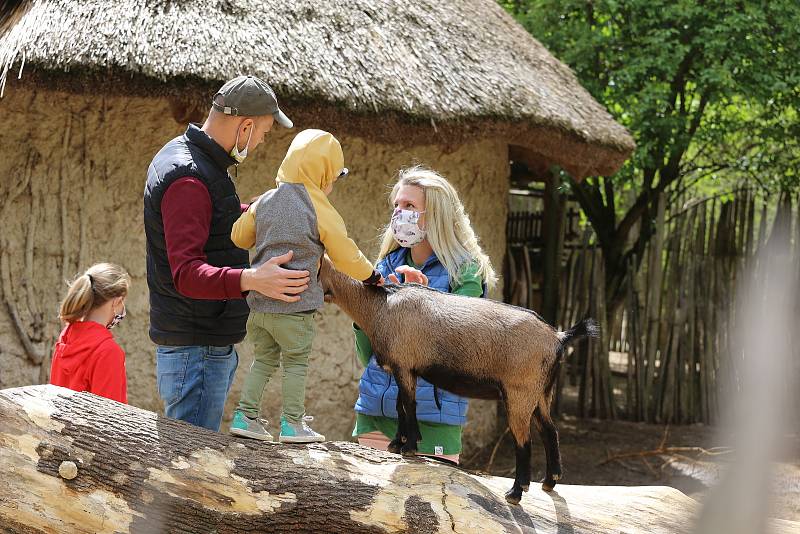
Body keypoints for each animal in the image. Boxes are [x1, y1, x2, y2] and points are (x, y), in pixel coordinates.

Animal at [320, 260, 600, 506]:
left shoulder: (403, 365)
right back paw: (549, 482)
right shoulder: (406, 369)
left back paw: (516, 492)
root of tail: (559, 337)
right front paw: (398, 443)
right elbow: (400, 405)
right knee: (550, 431)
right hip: (541, 393)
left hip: (520, 393)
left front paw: (408, 447)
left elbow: (409, 405)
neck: (381, 306)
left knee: (524, 441)